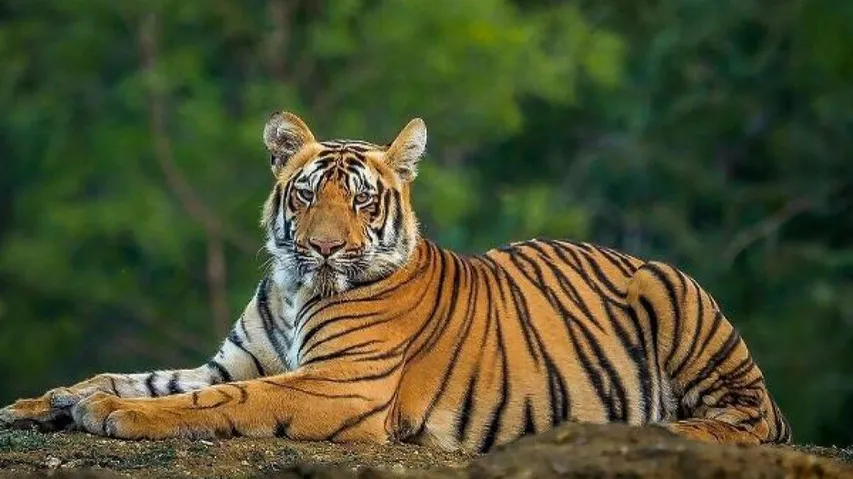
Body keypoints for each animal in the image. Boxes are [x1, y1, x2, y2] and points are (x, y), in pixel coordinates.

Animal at [0, 112, 791, 452]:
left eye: (360, 201)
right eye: (305, 195)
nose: (322, 247)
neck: (294, 287)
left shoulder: (340, 384)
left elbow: (216, 399)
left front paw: (110, 414)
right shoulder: (232, 358)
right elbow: (142, 375)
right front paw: (47, 401)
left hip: (674, 297)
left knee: (747, 420)